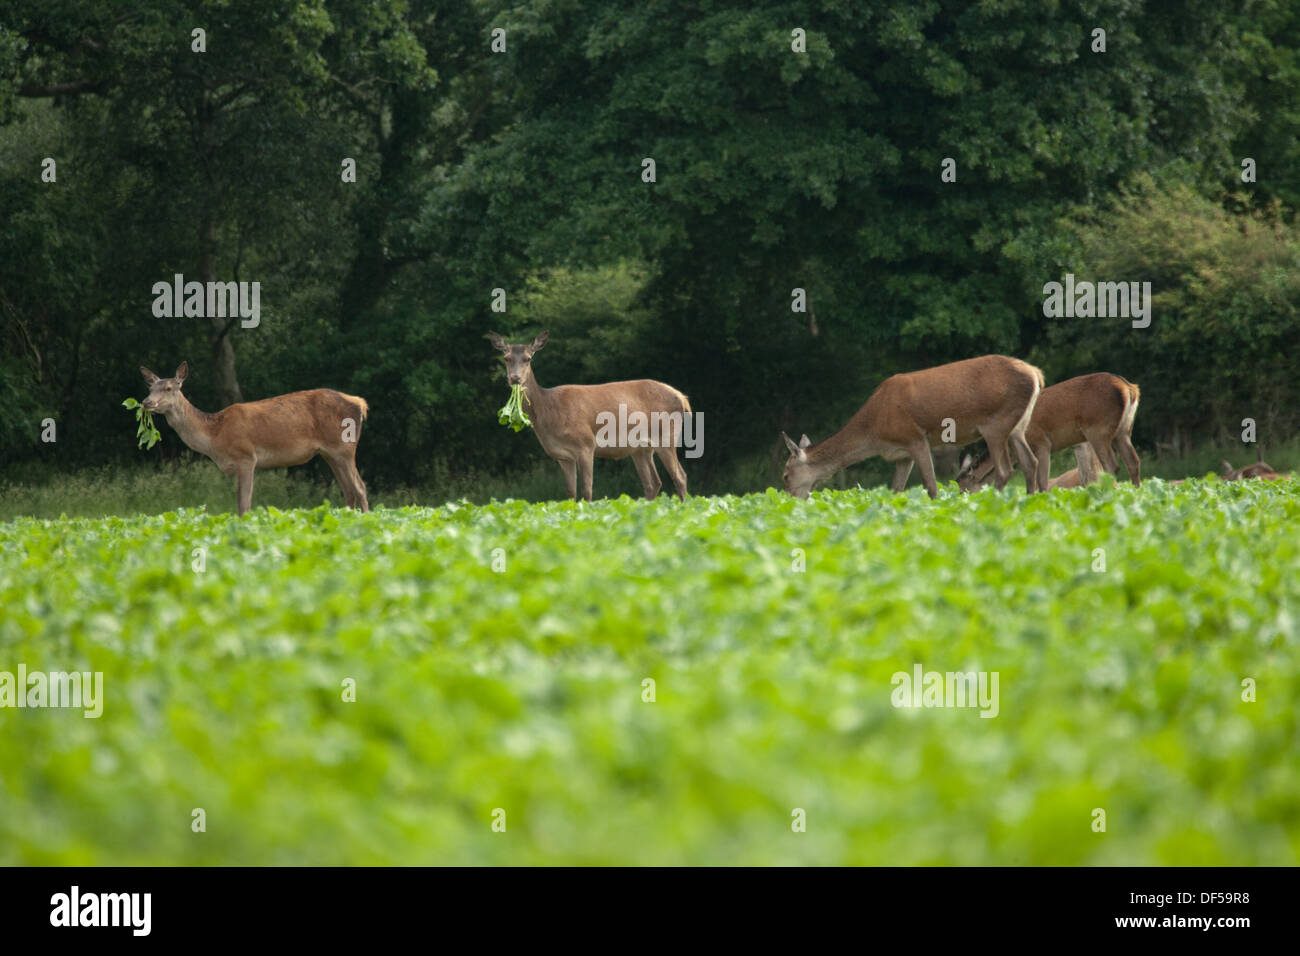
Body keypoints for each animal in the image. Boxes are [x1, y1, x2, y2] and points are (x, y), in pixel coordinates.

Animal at [139, 362, 370, 516]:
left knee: (359, 487)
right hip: (329, 453)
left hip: (344, 447)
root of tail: (360, 403)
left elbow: (244, 504)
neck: (215, 436)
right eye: (150, 388)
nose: (146, 402)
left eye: (169, 388)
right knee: (348, 489)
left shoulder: (246, 457)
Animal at [488, 331, 693, 501]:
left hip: (666, 435)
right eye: (506, 358)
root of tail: (682, 398)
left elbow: (587, 490)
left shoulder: (586, 444)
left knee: (680, 476)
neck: (550, 413)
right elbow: (570, 493)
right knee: (653, 483)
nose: (515, 378)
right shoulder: (563, 456)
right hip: (641, 448)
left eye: (528, 358)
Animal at [780, 354, 1044, 500]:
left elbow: (931, 486)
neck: (875, 431)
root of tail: (1035, 373)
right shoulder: (901, 455)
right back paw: (1030, 500)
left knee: (1005, 470)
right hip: (1018, 426)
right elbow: (896, 489)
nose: (790, 500)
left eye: (785, 474)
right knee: (1030, 462)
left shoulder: (914, 438)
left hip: (995, 424)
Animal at [957, 372, 1140, 493]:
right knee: (1133, 461)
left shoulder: (1041, 442)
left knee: (1112, 465)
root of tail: (1130, 389)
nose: (960, 499)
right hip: (1123, 431)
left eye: (964, 489)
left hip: (1098, 429)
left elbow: (1042, 482)